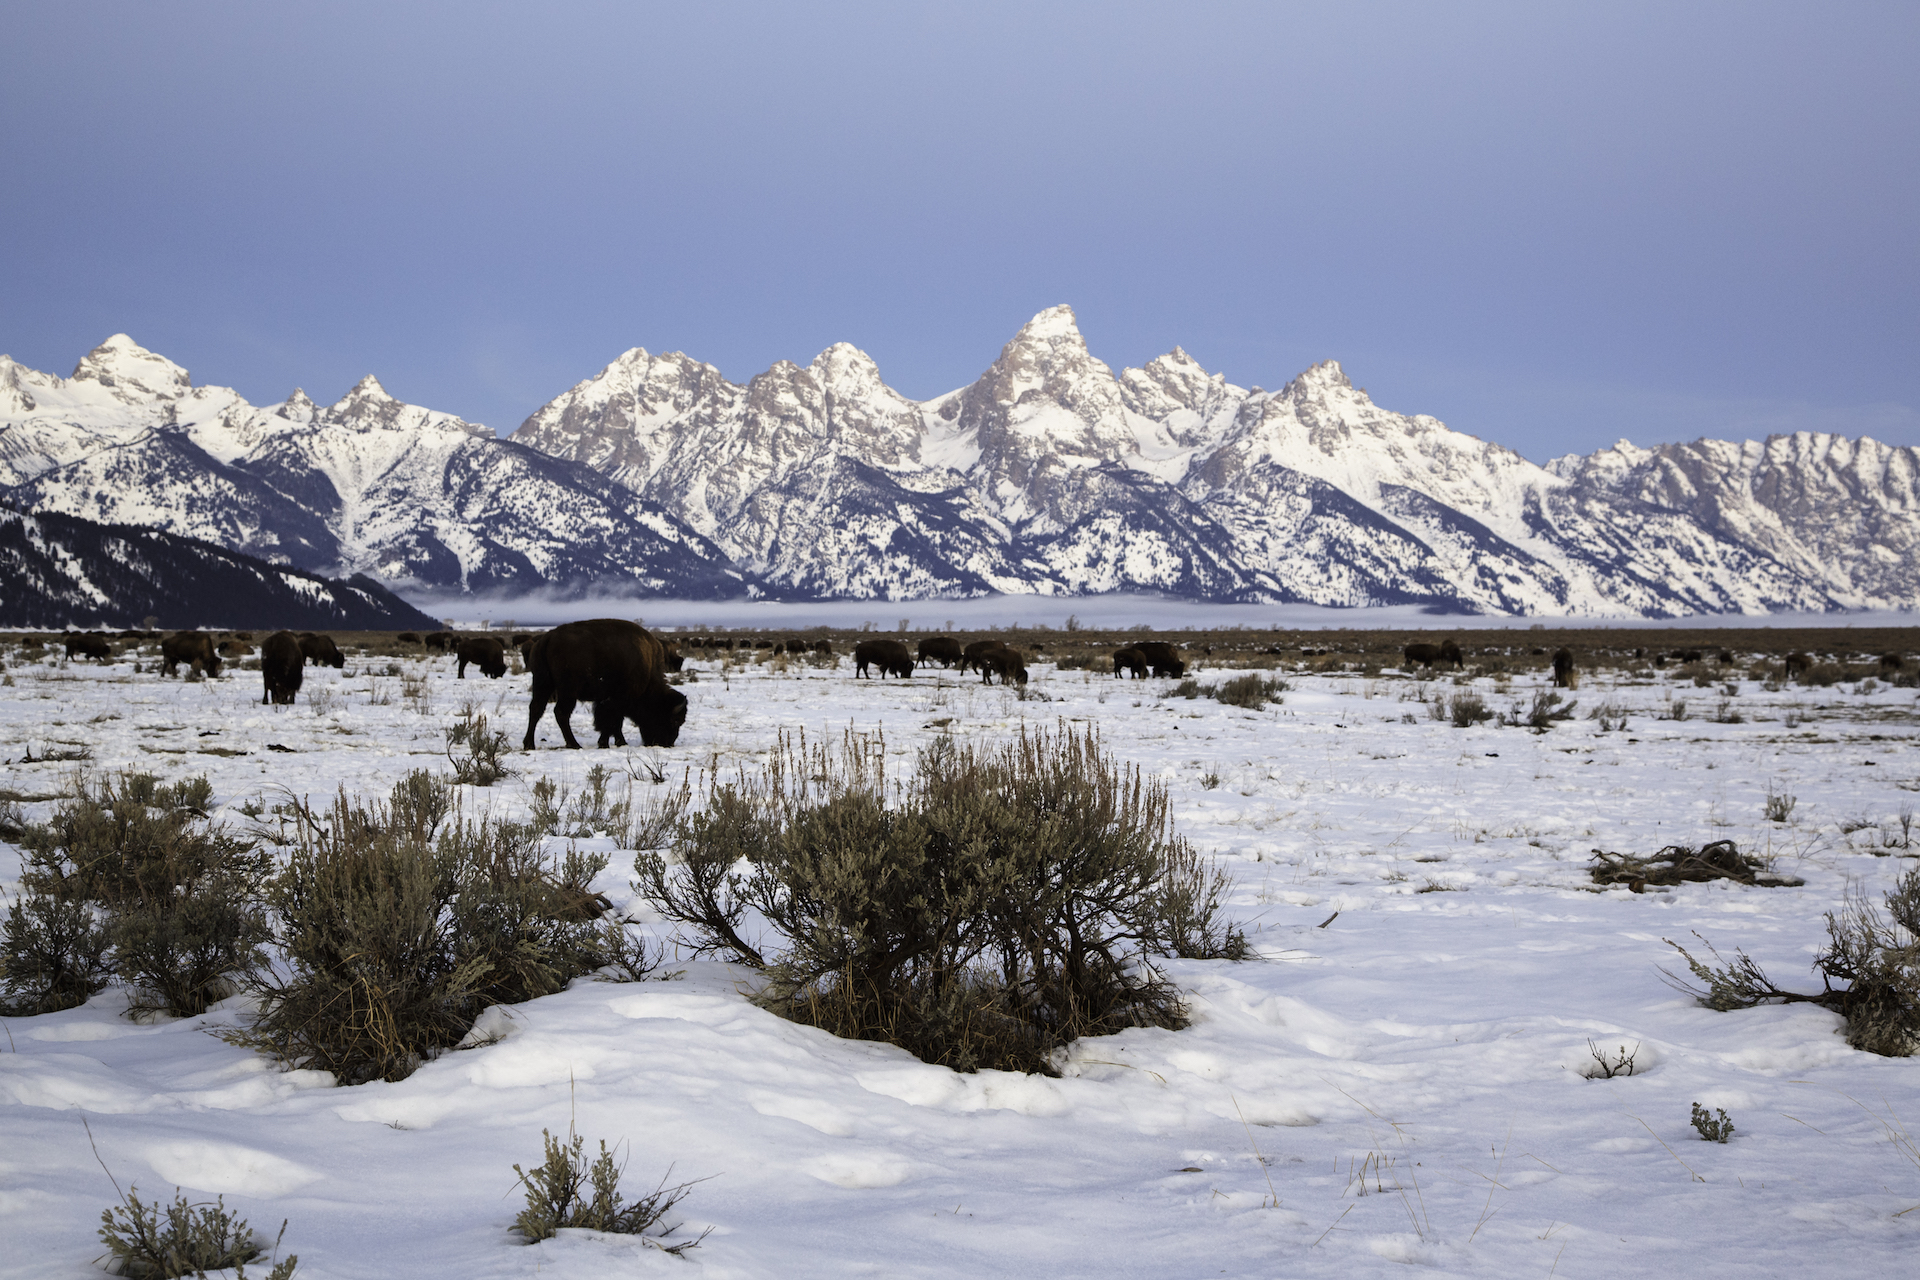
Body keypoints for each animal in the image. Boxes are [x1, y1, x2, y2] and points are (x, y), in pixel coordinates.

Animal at [522, 617, 687, 752]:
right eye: (675, 721)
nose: (668, 743)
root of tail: (547, 639)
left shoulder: (607, 700)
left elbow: (613, 722)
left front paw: (618, 742)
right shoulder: (617, 699)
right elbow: (611, 721)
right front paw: (606, 743)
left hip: (543, 683)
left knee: (536, 709)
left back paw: (529, 744)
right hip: (567, 690)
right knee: (561, 713)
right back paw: (574, 744)